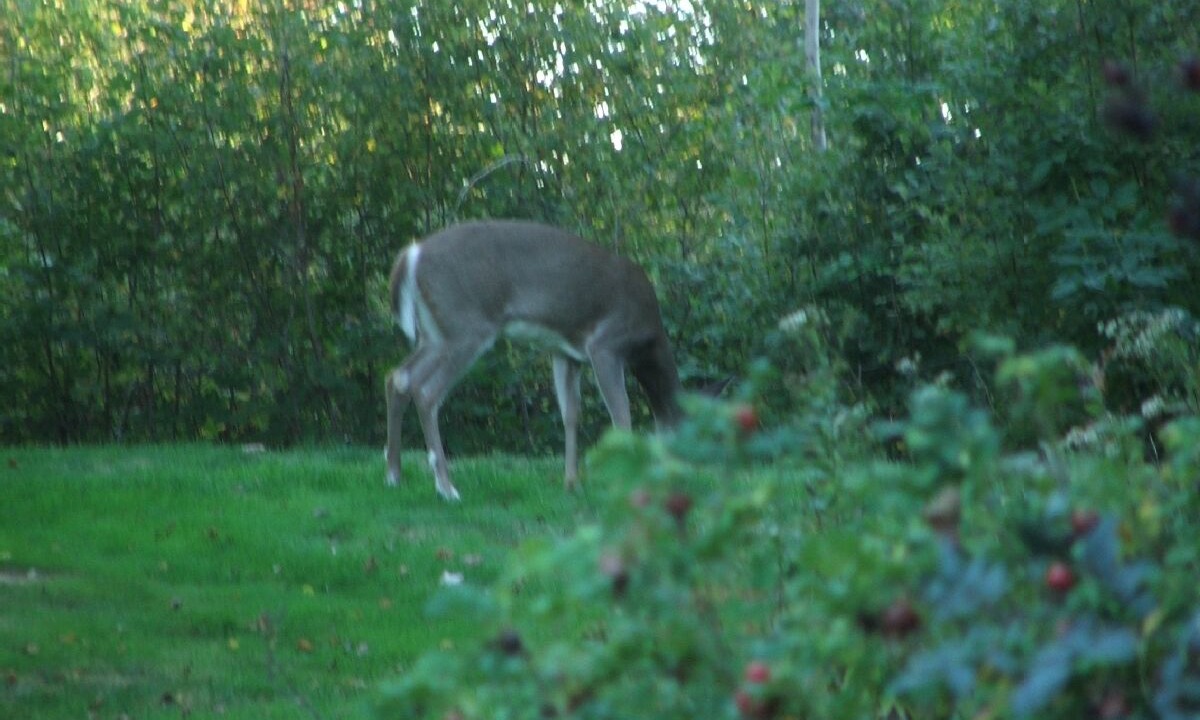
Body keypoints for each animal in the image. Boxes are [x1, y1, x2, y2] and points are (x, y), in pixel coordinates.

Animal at [384, 219, 684, 501]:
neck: (648, 341)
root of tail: (411, 255)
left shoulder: (565, 353)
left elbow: (571, 414)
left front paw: (571, 483)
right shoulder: (605, 345)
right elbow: (621, 415)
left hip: (435, 332)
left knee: (399, 377)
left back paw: (394, 475)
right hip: (465, 325)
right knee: (426, 391)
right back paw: (446, 488)